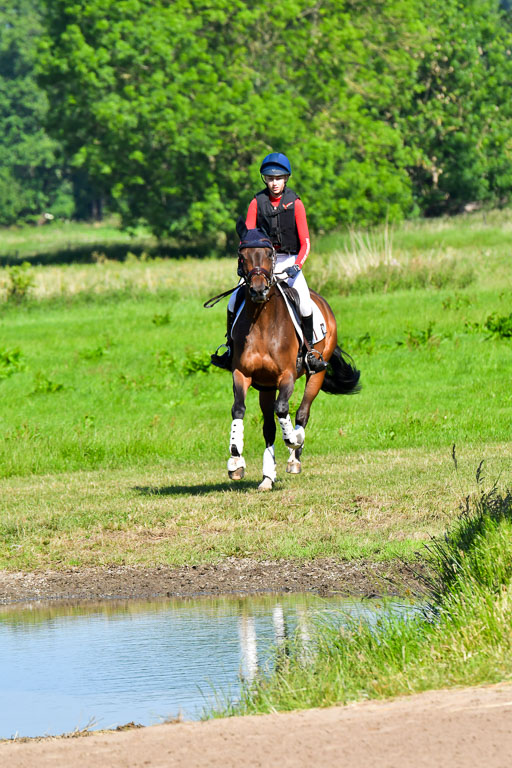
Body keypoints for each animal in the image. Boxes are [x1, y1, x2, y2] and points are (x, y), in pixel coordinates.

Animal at [226, 223, 360, 491]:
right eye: (242, 255)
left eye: (269, 254)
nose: (258, 290)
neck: (262, 321)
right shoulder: (242, 373)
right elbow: (238, 409)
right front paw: (235, 461)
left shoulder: (286, 375)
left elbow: (283, 409)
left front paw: (293, 439)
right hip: (266, 386)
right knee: (268, 427)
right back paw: (267, 477)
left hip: (316, 373)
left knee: (302, 412)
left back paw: (295, 455)